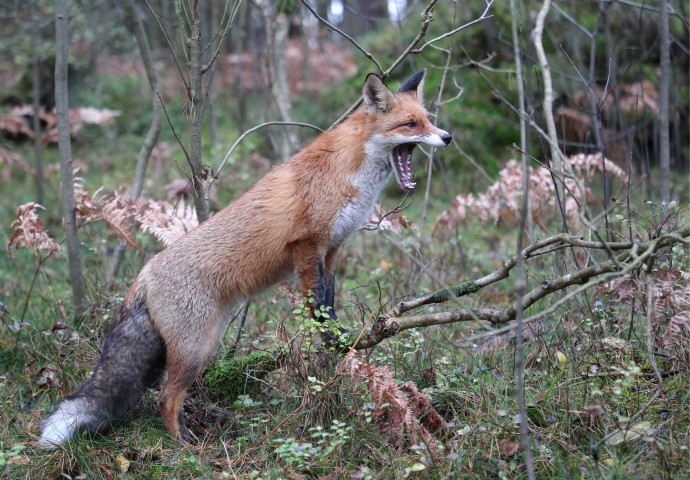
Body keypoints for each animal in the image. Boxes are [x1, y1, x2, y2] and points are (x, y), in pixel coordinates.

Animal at [39, 67, 452, 446]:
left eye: (428, 118)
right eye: (411, 123)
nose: (447, 137)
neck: (348, 171)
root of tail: (144, 273)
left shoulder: (332, 248)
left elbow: (329, 301)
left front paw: (338, 338)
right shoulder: (306, 245)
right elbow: (316, 304)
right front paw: (328, 337)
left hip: (200, 345)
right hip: (197, 350)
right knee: (166, 398)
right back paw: (184, 445)